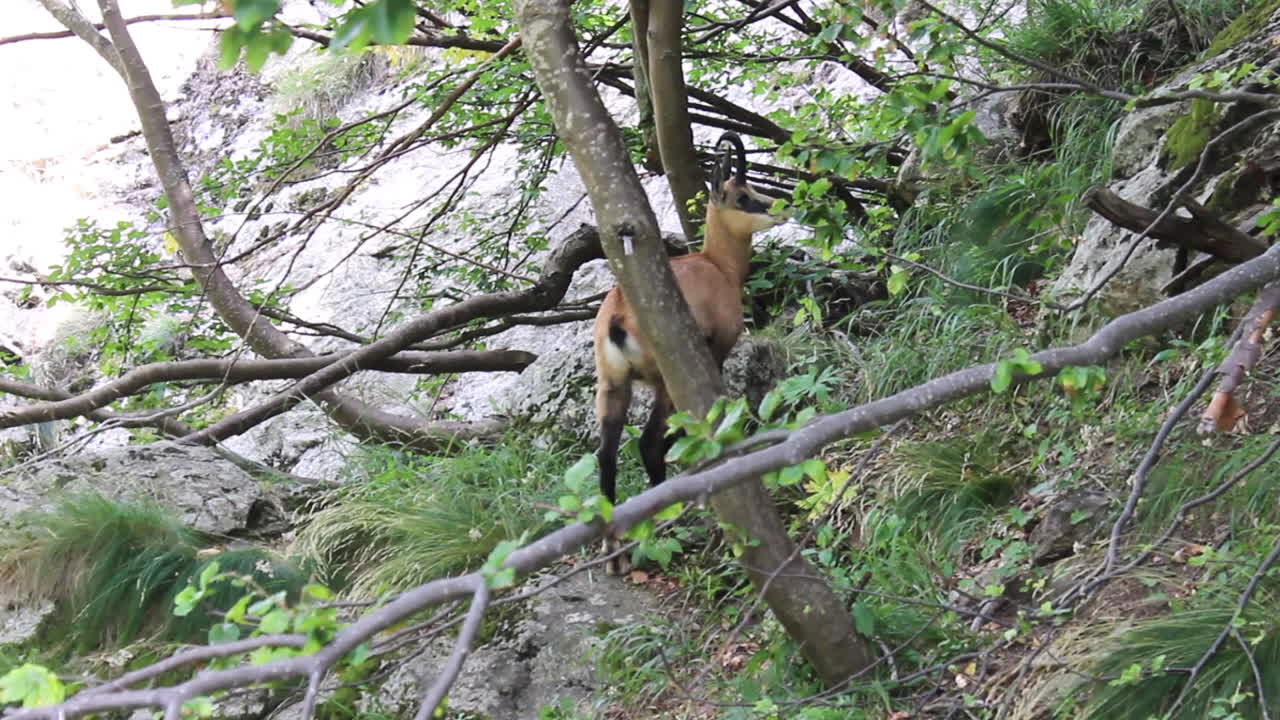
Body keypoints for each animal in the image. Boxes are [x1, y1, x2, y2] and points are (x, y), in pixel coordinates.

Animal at [592, 131, 787, 571]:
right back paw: (666, 519)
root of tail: (619, 315)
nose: (780, 208)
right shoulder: (715, 352)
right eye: (742, 196)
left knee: (606, 453)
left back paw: (614, 553)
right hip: (666, 378)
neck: (716, 266)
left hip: (613, 385)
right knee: (649, 443)